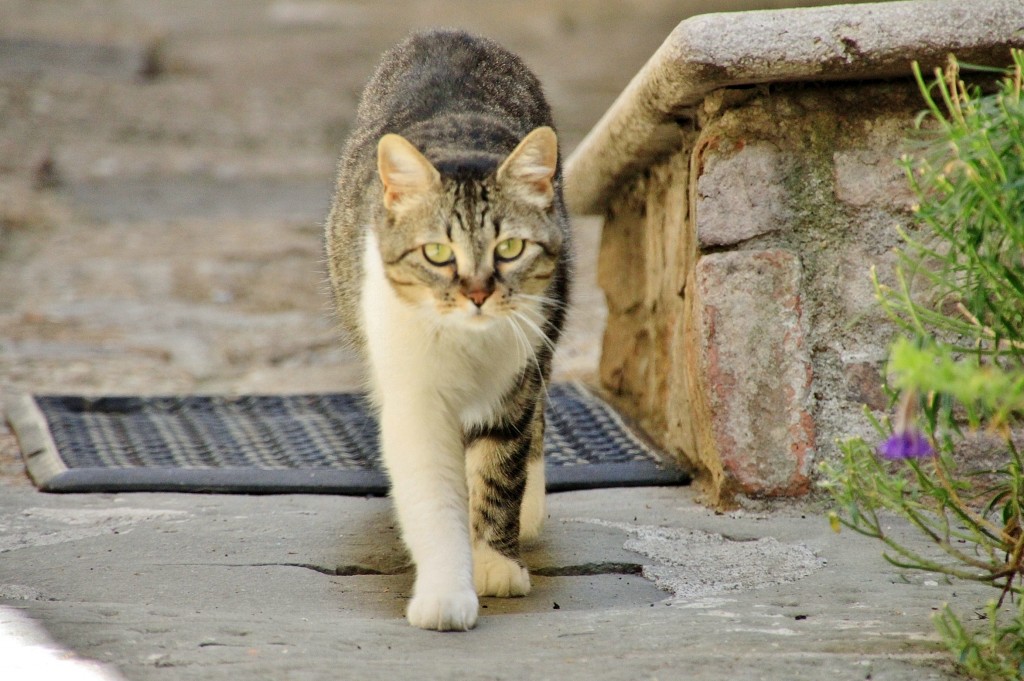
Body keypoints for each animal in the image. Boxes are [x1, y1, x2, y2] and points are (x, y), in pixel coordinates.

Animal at [323, 29, 573, 630]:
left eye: (511, 248)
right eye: (437, 253)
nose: (477, 293)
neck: (466, 341)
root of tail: (449, 32)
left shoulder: (518, 378)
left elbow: (500, 469)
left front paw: (495, 561)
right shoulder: (415, 396)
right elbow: (433, 493)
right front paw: (444, 592)